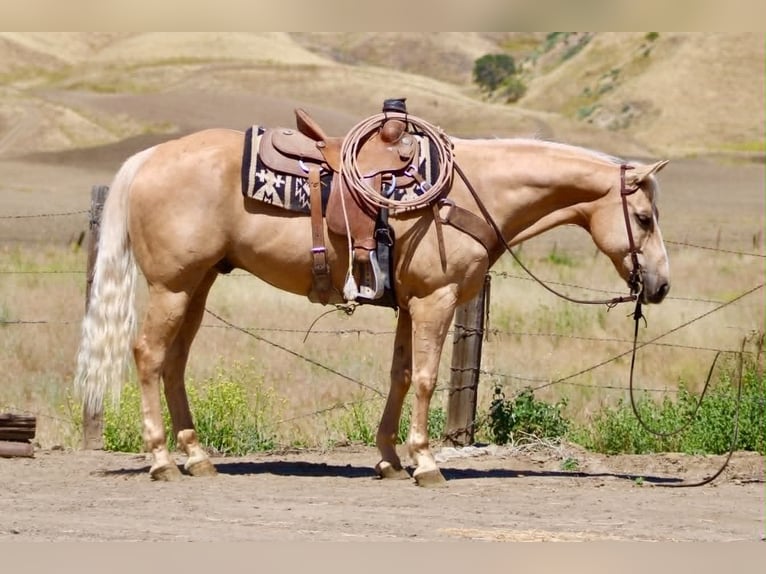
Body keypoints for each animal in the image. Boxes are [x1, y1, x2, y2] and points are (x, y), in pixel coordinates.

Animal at [74, 122, 670, 486]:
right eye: (643, 218)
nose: (661, 285)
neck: (471, 191)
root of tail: (148, 158)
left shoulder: (410, 303)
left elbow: (401, 376)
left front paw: (388, 459)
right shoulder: (436, 299)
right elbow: (426, 378)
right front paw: (425, 462)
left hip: (196, 286)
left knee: (175, 362)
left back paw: (197, 458)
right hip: (172, 286)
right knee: (149, 355)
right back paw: (160, 460)